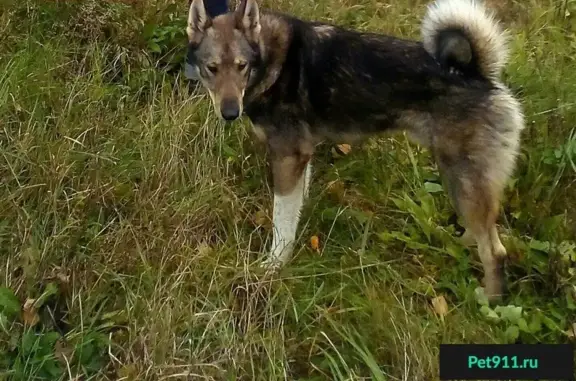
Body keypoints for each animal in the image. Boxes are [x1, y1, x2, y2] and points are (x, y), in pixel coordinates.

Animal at [184, 0, 520, 302]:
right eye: (212, 68)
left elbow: (282, 221)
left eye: (242, 66)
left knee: (495, 251)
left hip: (463, 177)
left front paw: (273, 266)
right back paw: (460, 243)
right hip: (461, 180)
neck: (269, 61)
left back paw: (489, 302)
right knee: (482, 230)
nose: (230, 112)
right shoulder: (302, 156)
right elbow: (295, 209)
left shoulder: (287, 157)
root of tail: (479, 75)